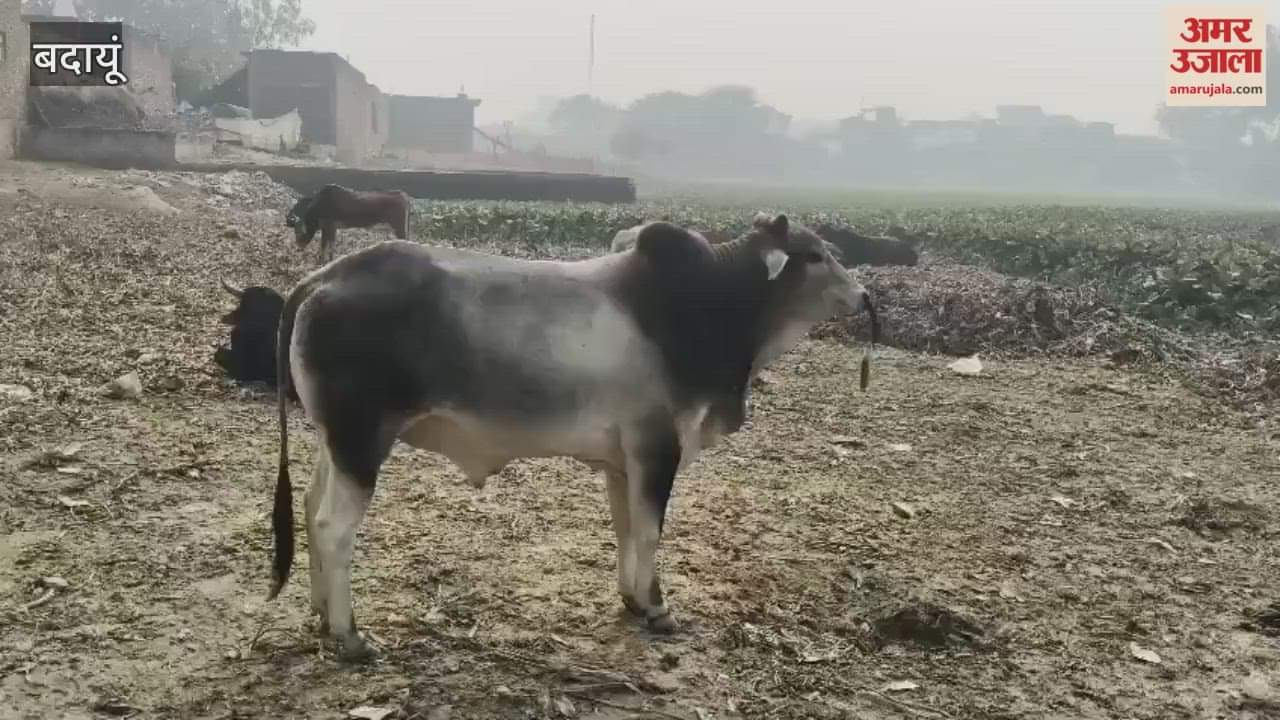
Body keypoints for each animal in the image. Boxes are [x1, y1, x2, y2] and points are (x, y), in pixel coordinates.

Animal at [264, 212, 880, 662]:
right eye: (817, 255)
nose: (863, 296)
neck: (711, 305)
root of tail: (325, 278)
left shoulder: (623, 460)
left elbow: (627, 529)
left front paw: (633, 600)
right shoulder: (659, 446)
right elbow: (651, 532)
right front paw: (659, 609)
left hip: (337, 441)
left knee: (312, 510)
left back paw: (320, 615)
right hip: (362, 440)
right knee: (332, 527)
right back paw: (349, 636)